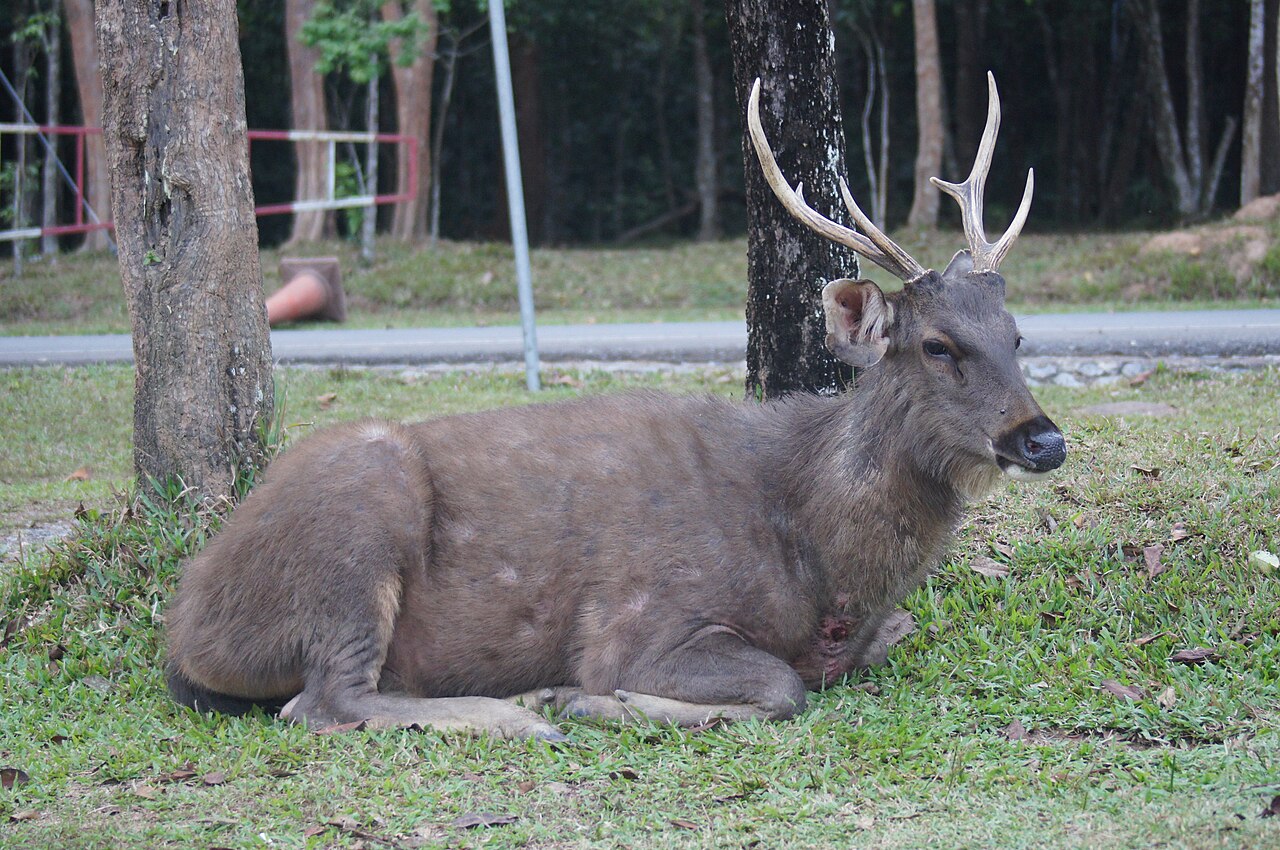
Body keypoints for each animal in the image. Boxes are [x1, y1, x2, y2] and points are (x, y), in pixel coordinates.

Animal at [165, 73, 1065, 741]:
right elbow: (780, 687)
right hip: (355, 523)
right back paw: (517, 712)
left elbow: (881, 641)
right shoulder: (645, 617)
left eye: (1017, 335)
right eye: (937, 345)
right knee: (323, 701)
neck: (818, 558)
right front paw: (590, 697)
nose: (1043, 439)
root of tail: (187, 622)